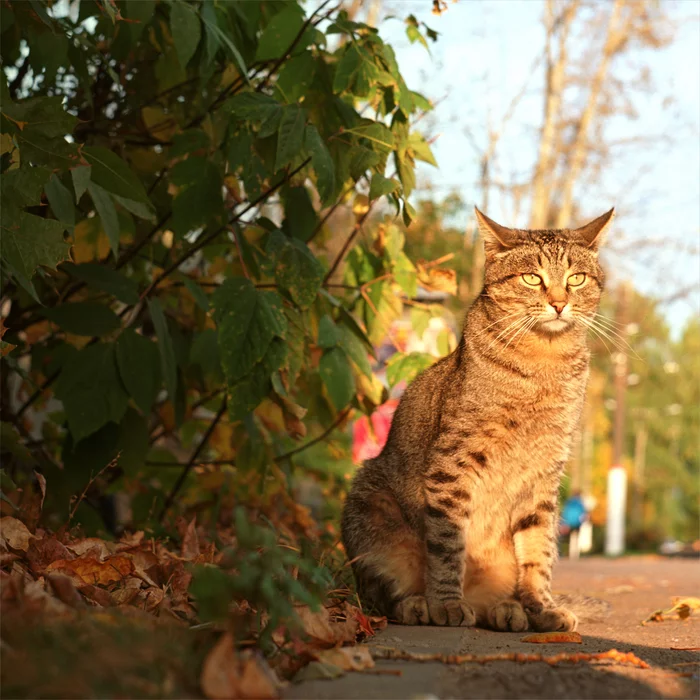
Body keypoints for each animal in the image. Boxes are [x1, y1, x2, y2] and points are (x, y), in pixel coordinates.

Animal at [342, 205, 616, 632]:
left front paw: (541, 606)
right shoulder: (453, 461)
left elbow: (539, 551)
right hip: (367, 506)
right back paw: (419, 604)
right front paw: (445, 602)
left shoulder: (545, 473)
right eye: (532, 277)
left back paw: (509, 609)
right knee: (381, 594)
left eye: (576, 278)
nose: (558, 303)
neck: (544, 362)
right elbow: (447, 542)